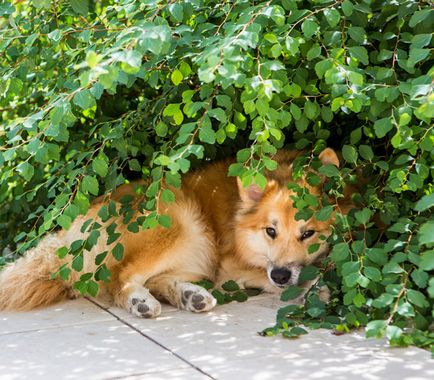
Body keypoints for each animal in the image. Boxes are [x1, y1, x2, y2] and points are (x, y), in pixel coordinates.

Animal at [0, 147, 346, 316]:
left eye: (308, 234)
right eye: (270, 231)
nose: (282, 276)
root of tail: (66, 238)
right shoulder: (230, 265)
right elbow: (271, 276)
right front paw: (312, 288)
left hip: (196, 250)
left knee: (155, 280)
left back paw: (189, 296)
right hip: (183, 221)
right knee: (120, 281)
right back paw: (140, 302)